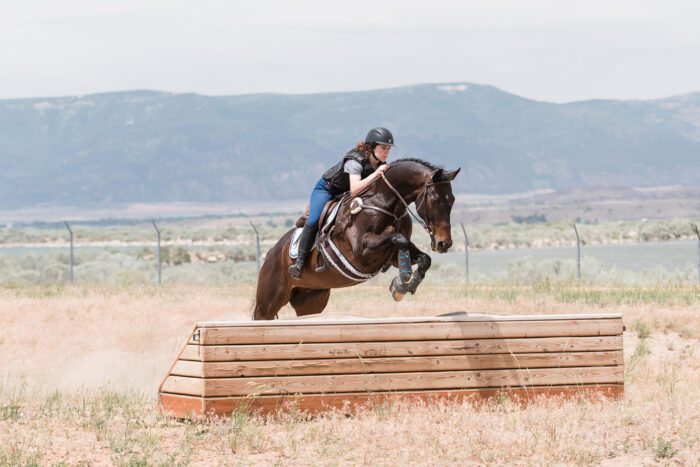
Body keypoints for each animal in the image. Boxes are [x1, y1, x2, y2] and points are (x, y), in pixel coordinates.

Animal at [252, 158, 460, 320]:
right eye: (434, 199)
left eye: (452, 200)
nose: (444, 243)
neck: (382, 203)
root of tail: (271, 253)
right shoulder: (362, 253)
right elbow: (398, 238)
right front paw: (402, 281)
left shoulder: (392, 254)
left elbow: (424, 258)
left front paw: (402, 286)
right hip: (269, 300)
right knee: (262, 316)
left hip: (311, 300)